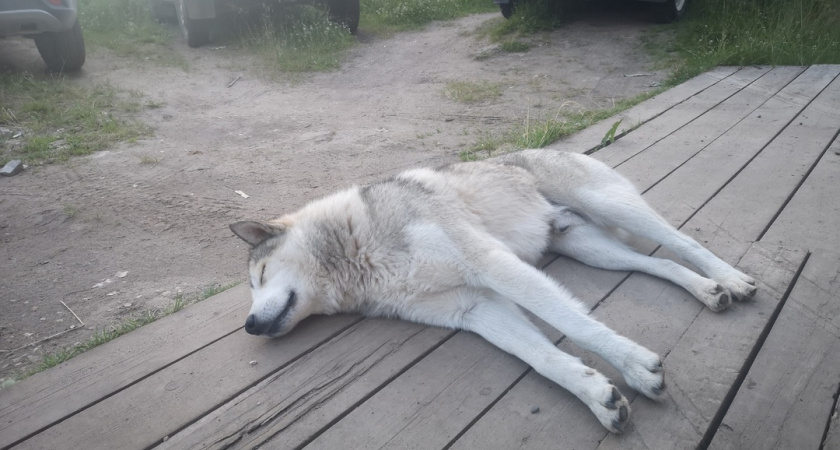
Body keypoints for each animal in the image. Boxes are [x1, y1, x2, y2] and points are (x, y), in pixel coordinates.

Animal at [231, 150, 760, 432]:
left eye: (260, 277)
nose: (250, 325)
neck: (359, 251)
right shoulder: (476, 308)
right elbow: (543, 357)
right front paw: (595, 395)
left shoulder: (491, 266)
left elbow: (577, 325)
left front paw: (634, 365)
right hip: (592, 250)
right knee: (660, 263)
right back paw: (708, 290)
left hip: (612, 209)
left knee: (682, 242)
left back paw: (731, 279)